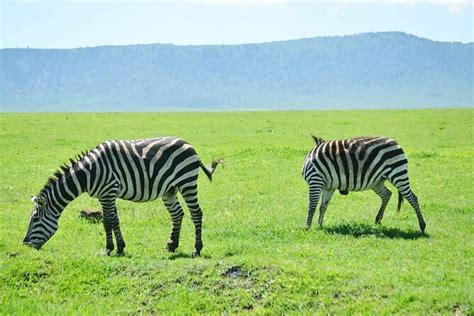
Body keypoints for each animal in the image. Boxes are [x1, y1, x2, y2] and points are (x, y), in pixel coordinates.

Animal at [22, 136, 222, 256]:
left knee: (196, 213)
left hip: (187, 182)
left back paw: (197, 249)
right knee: (177, 214)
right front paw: (120, 248)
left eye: (35, 218)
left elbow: (107, 221)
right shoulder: (108, 194)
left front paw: (108, 249)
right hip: (170, 189)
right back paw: (171, 245)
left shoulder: (107, 192)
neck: (89, 173)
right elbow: (115, 220)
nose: (25, 244)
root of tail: (189, 144)